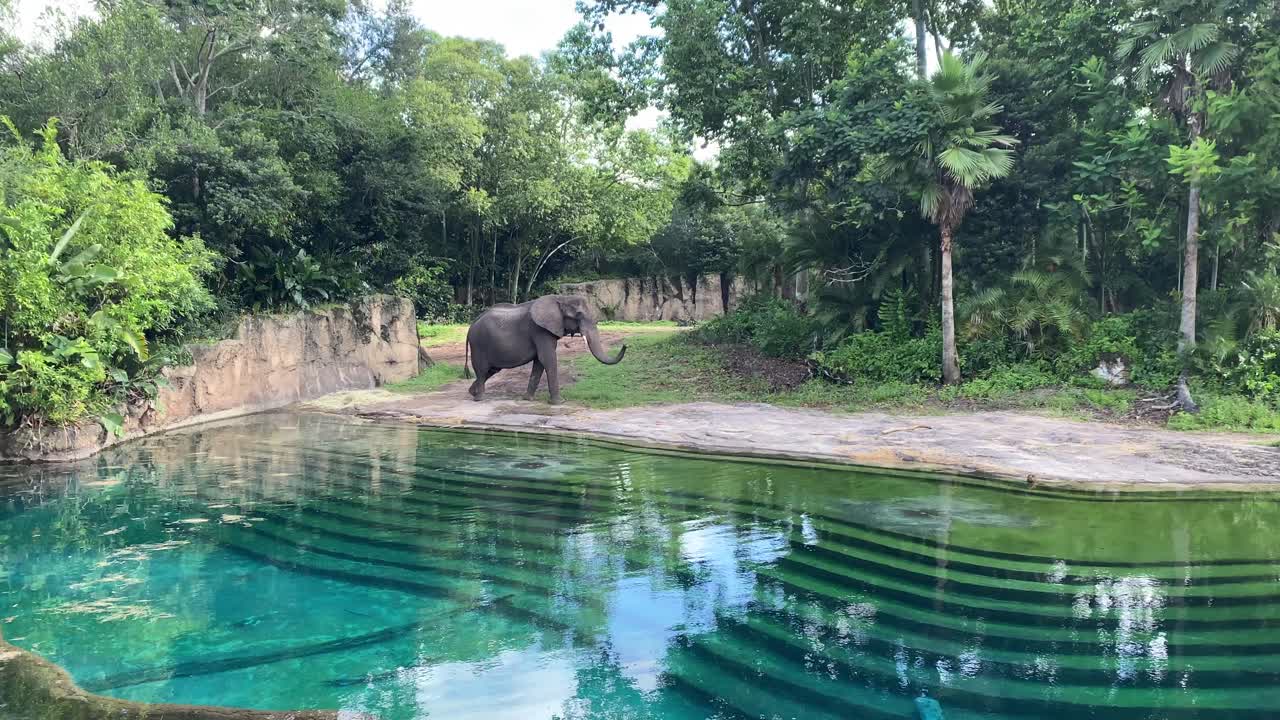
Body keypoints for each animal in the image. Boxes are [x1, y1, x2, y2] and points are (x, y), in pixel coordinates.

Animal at [465, 295, 626, 404]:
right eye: (579, 315)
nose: (626, 345)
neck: (561, 298)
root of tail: (472, 324)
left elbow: (539, 362)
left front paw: (527, 399)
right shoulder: (540, 330)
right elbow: (547, 359)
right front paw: (559, 403)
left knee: (492, 370)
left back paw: (472, 392)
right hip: (479, 344)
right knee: (482, 369)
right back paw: (479, 398)